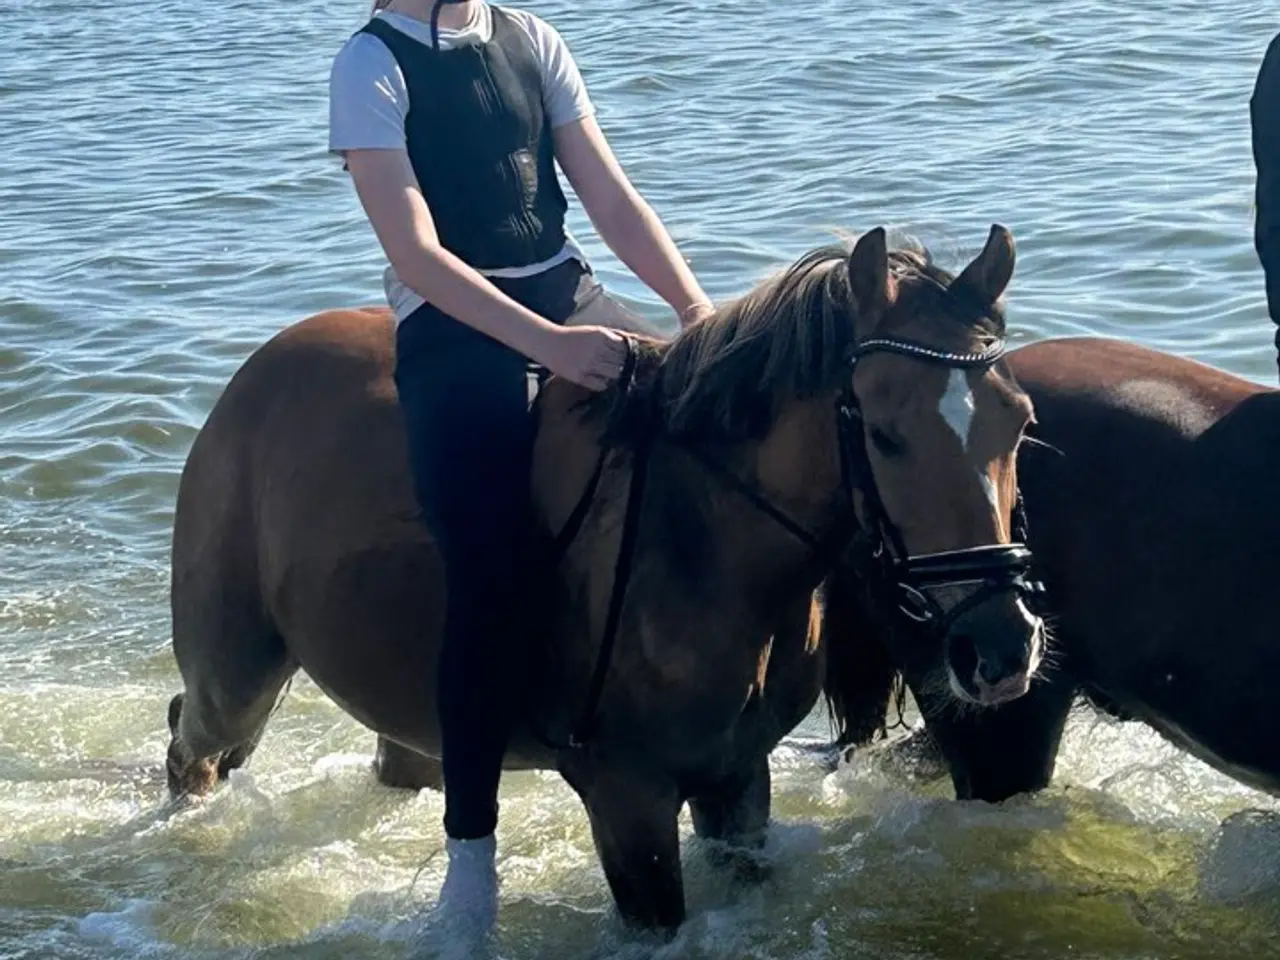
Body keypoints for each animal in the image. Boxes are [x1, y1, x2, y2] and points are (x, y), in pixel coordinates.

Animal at [162, 224, 1043, 933]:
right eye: (886, 433)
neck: (703, 537)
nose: (1000, 647)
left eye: (1020, 418)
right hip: (236, 672)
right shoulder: (628, 799)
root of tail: (258, 370)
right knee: (191, 745)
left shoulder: (737, 778)